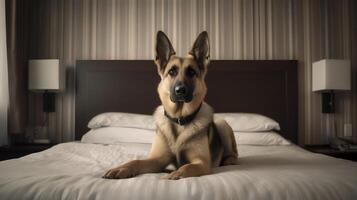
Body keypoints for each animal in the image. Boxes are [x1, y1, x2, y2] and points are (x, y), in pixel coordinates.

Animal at [102, 30, 236, 180]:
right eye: (172, 72)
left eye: (191, 72)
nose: (180, 91)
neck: (179, 120)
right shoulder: (157, 160)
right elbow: (136, 161)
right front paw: (121, 168)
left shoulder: (202, 163)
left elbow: (187, 167)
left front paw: (175, 173)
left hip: (222, 124)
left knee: (233, 153)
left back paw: (229, 160)